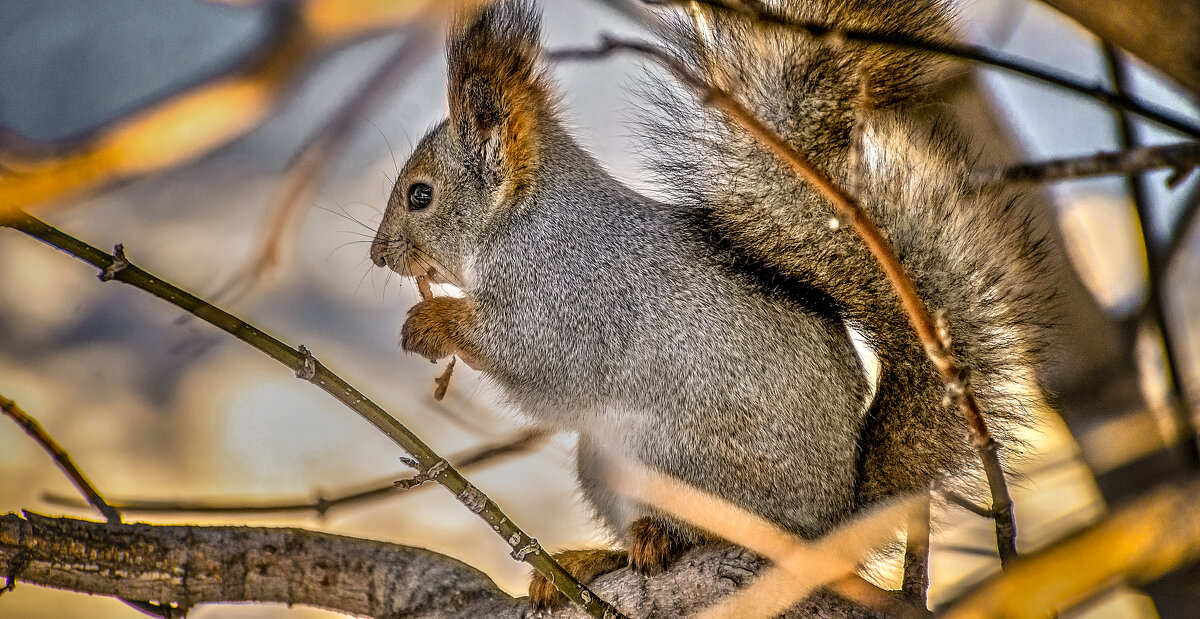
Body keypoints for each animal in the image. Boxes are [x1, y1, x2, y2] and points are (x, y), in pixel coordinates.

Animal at [367, 0, 1051, 609]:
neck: (521, 219)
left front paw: (431, 323)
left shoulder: (570, 295)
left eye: (420, 195)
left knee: (695, 533)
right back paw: (591, 561)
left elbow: (532, 356)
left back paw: (657, 538)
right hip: (608, 463)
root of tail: (828, 529)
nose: (377, 255)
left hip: (679, 459)